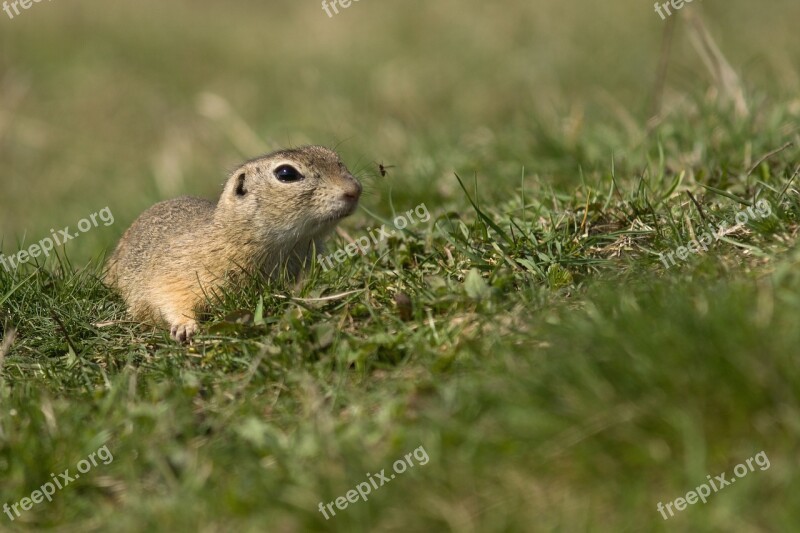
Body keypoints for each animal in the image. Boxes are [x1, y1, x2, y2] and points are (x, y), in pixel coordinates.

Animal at [104, 145, 362, 342]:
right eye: (286, 173)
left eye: (334, 157)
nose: (355, 190)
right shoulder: (179, 271)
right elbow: (172, 298)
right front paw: (185, 327)